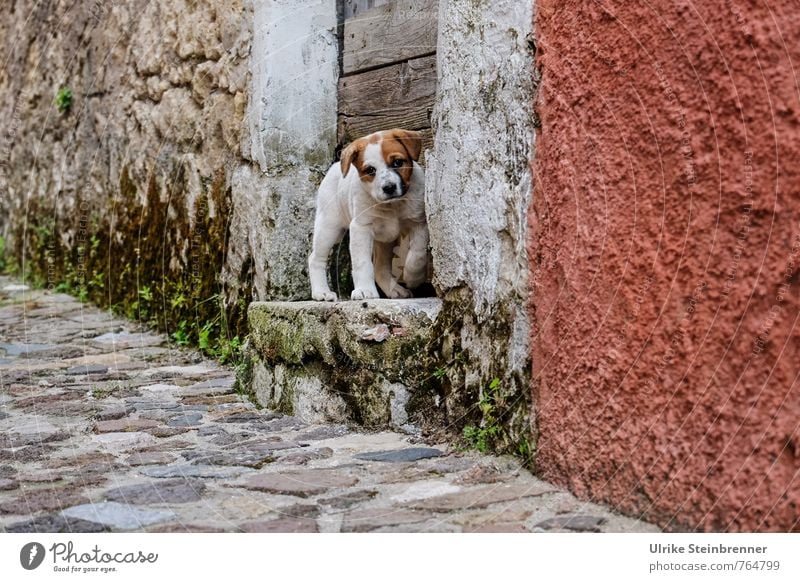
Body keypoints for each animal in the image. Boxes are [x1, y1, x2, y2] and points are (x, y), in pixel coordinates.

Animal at [310, 130, 428, 304]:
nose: (389, 187)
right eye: (370, 170)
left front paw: (413, 277)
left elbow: (418, 254)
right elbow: (362, 263)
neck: (392, 206)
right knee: (315, 258)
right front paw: (365, 290)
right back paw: (322, 292)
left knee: (380, 268)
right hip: (329, 228)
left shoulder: (418, 222)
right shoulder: (361, 228)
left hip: (384, 240)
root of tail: (335, 166)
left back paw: (395, 289)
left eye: (398, 162)